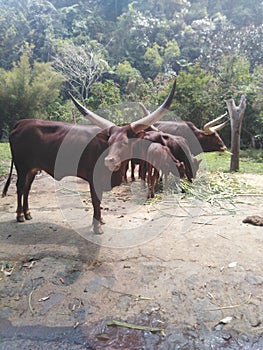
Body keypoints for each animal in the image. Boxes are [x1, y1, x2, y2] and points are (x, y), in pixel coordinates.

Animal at [2, 78, 177, 232]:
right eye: (109, 142)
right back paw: (19, 215)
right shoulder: (94, 180)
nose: (109, 160)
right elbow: (95, 201)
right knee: (20, 187)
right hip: (22, 167)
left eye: (125, 142)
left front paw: (100, 220)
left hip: (32, 169)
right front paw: (97, 226)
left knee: (27, 188)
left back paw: (27, 213)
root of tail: (21, 123)